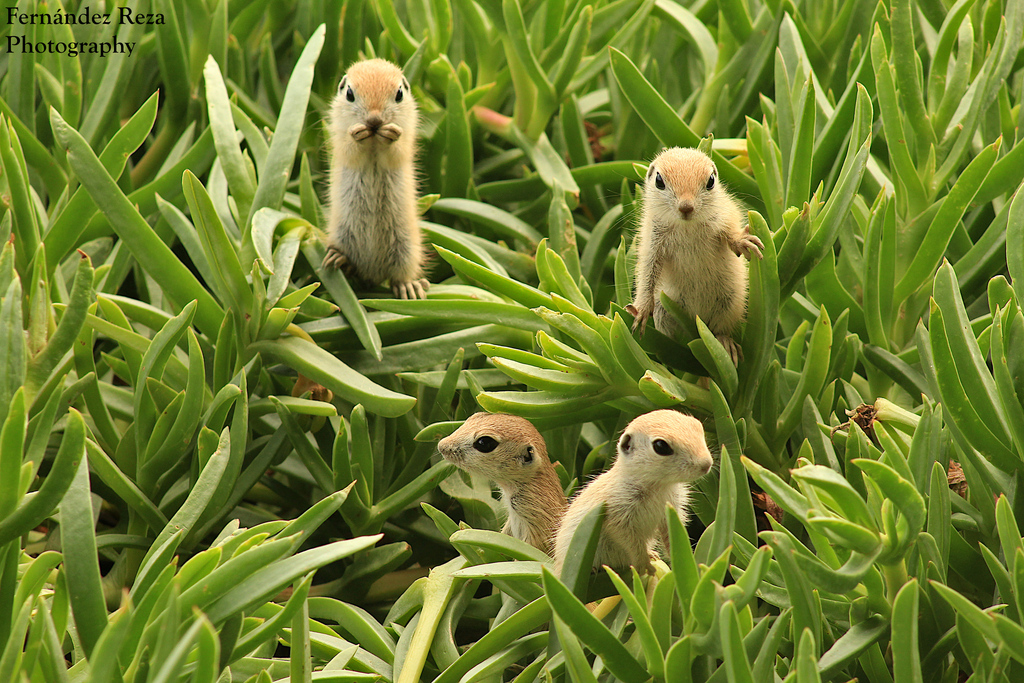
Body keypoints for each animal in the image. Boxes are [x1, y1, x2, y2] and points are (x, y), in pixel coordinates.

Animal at [322, 58, 429, 300]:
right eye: (349, 93)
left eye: (399, 94)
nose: (374, 120)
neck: (373, 143)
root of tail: (373, 274)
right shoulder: (340, 139)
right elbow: (350, 149)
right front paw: (357, 134)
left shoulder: (405, 140)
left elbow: (397, 150)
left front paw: (390, 135)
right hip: (342, 234)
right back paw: (339, 258)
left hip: (406, 247)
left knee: (401, 274)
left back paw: (409, 287)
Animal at [552, 410, 713, 575]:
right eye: (660, 446)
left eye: (698, 426)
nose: (706, 464)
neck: (659, 486)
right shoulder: (619, 512)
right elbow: (630, 539)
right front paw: (644, 565)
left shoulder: (673, 505)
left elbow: (670, 531)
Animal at [626, 147, 764, 363]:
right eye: (659, 181)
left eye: (710, 181)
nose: (686, 207)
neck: (686, 227)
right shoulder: (651, 240)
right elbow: (647, 273)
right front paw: (641, 310)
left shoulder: (725, 213)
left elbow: (731, 231)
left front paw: (742, 240)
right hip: (664, 310)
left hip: (730, 303)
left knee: (720, 329)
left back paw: (725, 344)